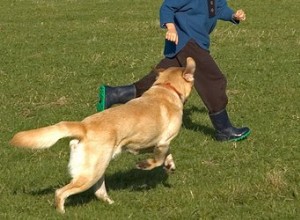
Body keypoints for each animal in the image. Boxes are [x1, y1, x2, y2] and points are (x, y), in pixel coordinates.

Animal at [9, 57, 196, 213]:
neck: (167, 88)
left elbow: (166, 154)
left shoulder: (149, 145)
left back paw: (112, 203)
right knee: (60, 192)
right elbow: (158, 159)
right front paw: (146, 164)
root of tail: (83, 126)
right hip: (90, 173)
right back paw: (61, 212)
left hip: (98, 168)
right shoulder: (163, 141)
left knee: (98, 192)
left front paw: (170, 164)